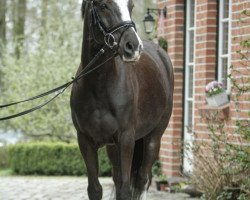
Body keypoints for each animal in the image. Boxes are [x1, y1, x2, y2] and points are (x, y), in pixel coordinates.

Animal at [69, 0, 173, 199]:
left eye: (131, 5)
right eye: (103, 5)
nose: (133, 46)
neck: (100, 86)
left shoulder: (126, 139)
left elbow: (125, 189)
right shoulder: (85, 141)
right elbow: (95, 189)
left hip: (153, 137)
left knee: (142, 179)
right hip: (112, 147)